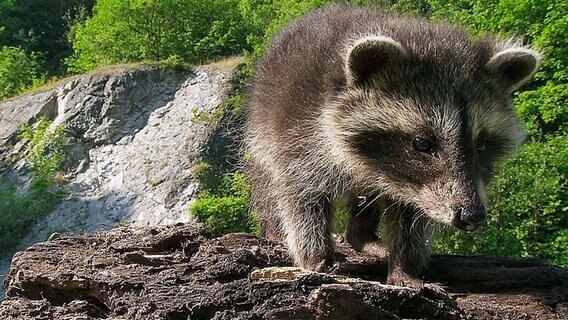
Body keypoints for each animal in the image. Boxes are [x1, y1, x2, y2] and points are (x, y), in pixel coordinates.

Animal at [244, 3, 540, 286]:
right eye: (422, 143)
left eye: (480, 146)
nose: (472, 215)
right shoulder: (299, 135)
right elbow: (302, 199)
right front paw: (316, 257)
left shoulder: (419, 187)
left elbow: (410, 217)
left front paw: (403, 267)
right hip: (261, 126)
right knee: (268, 183)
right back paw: (274, 230)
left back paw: (361, 235)